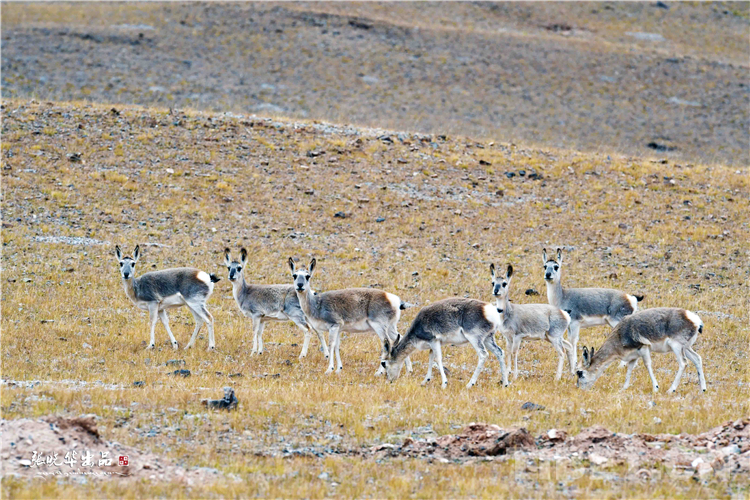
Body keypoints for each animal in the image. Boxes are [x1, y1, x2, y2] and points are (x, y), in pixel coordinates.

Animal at [577, 307, 706, 393]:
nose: (578, 388)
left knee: (683, 363)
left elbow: (647, 365)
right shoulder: (633, 356)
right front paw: (623, 388)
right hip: (686, 348)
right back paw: (703, 389)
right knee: (697, 359)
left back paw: (671, 390)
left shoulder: (643, 348)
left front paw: (655, 388)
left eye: (580, 372)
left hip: (677, 347)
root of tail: (695, 320)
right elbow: (629, 369)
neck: (620, 334)